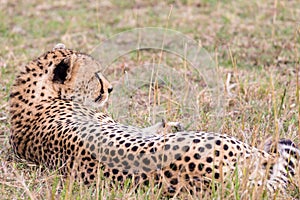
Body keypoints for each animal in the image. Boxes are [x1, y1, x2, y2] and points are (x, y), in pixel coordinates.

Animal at [8, 44, 298, 196]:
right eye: (95, 76)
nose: (110, 88)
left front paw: (168, 124)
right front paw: (168, 125)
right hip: (241, 147)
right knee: (280, 162)